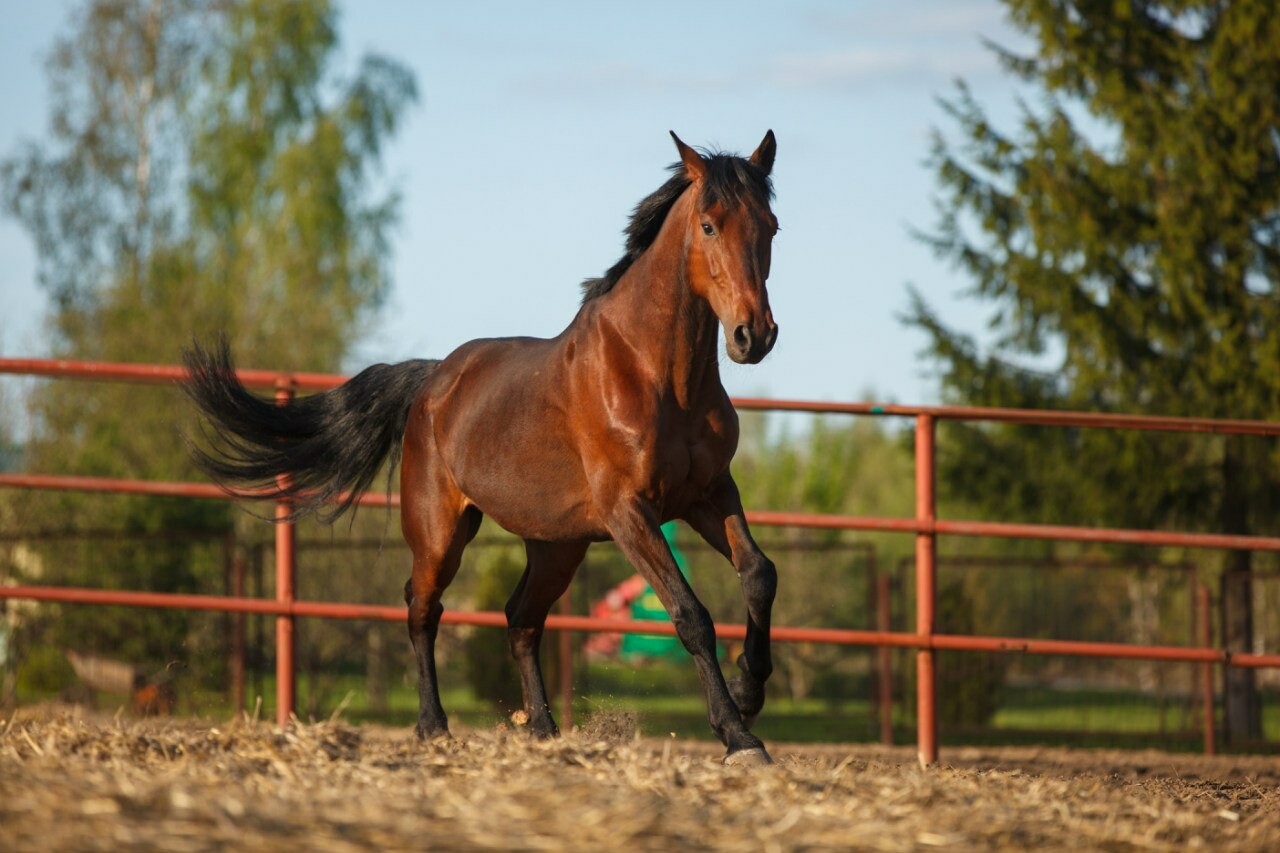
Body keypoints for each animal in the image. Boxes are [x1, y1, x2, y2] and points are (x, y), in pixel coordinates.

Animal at [180, 131, 778, 763]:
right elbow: (691, 614)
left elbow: (759, 573)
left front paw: (749, 690)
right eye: (709, 225)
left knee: (520, 617)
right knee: (423, 608)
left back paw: (542, 728)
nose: (754, 335)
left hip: (557, 544)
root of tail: (432, 380)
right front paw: (739, 735)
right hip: (441, 532)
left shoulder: (708, 493)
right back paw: (434, 726)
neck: (651, 372)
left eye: (771, 226)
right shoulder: (631, 513)